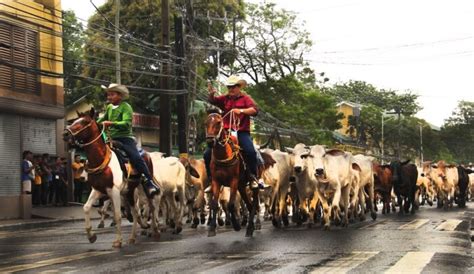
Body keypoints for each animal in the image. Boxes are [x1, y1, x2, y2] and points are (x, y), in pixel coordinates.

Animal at [63, 108, 155, 248]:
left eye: (84, 122)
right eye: (74, 121)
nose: (65, 134)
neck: (100, 160)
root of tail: (146, 153)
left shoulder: (114, 191)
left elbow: (117, 215)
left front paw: (118, 241)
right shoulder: (98, 190)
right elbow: (86, 207)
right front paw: (91, 236)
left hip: (143, 188)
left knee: (150, 207)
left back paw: (153, 230)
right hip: (129, 191)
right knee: (136, 211)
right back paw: (133, 236)